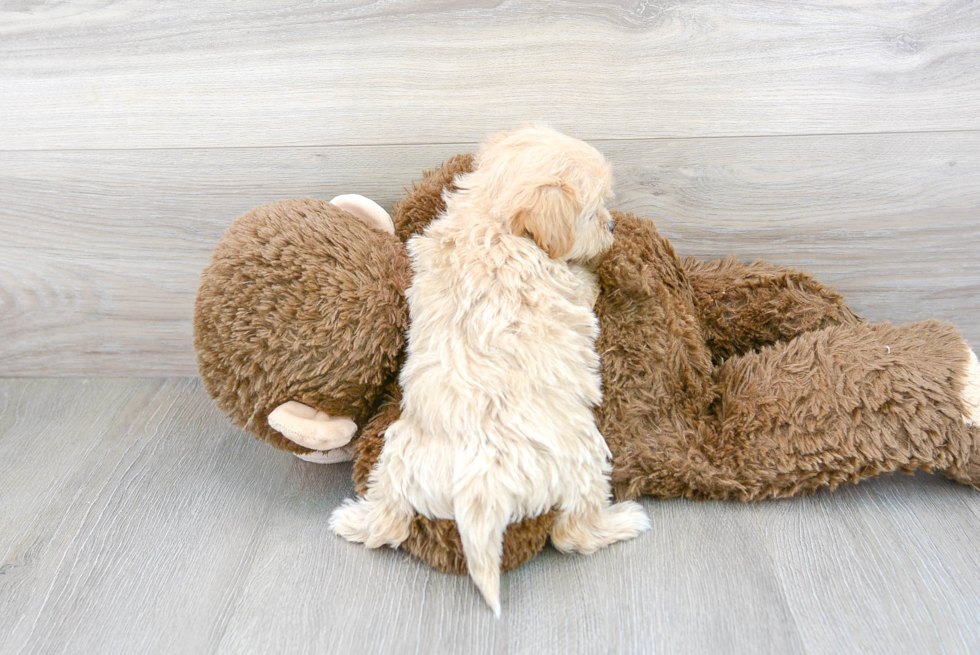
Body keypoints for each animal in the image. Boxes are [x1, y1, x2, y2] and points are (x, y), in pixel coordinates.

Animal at [330, 127, 652, 616]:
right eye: (594, 211)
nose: (613, 226)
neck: (493, 220)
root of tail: (480, 493)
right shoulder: (566, 283)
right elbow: (584, 283)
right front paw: (598, 267)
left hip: (398, 453)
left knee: (392, 520)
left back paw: (352, 519)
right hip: (586, 457)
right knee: (571, 532)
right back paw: (622, 521)